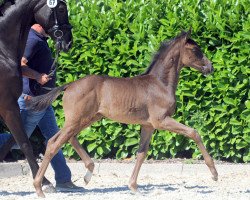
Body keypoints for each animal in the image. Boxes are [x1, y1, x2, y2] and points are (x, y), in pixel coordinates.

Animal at [0, 0, 72, 191]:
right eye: (61, 9)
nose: (69, 42)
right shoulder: (8, 105)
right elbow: (25, 142)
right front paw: (45, 182)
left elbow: (14, 139)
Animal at [28, 30, 218, 198]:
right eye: (195, 50)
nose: (210, 67)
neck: (160, 84)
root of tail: (69, 85)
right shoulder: (161, 121)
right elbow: (194, 132)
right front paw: (214, 173)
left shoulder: (148, 126)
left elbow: (141, 154)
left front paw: (133, 187)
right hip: (77, 120)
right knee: (54, 143)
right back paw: (39, 188)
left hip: (87, 119)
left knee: (64, 139)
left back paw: (87, 174)